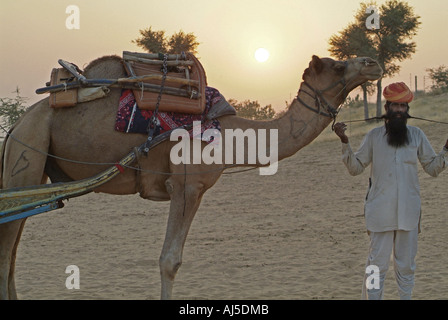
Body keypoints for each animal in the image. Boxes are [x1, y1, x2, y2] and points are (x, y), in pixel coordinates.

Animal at [0, 53, 384, 298]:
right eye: (337, 65)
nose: (373, 62)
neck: (231, 135)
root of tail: (16, 125)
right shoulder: (187, 185)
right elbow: (169, 261)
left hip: (35, 172)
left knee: (13, 252)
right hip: (27, 155)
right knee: (7, 251)